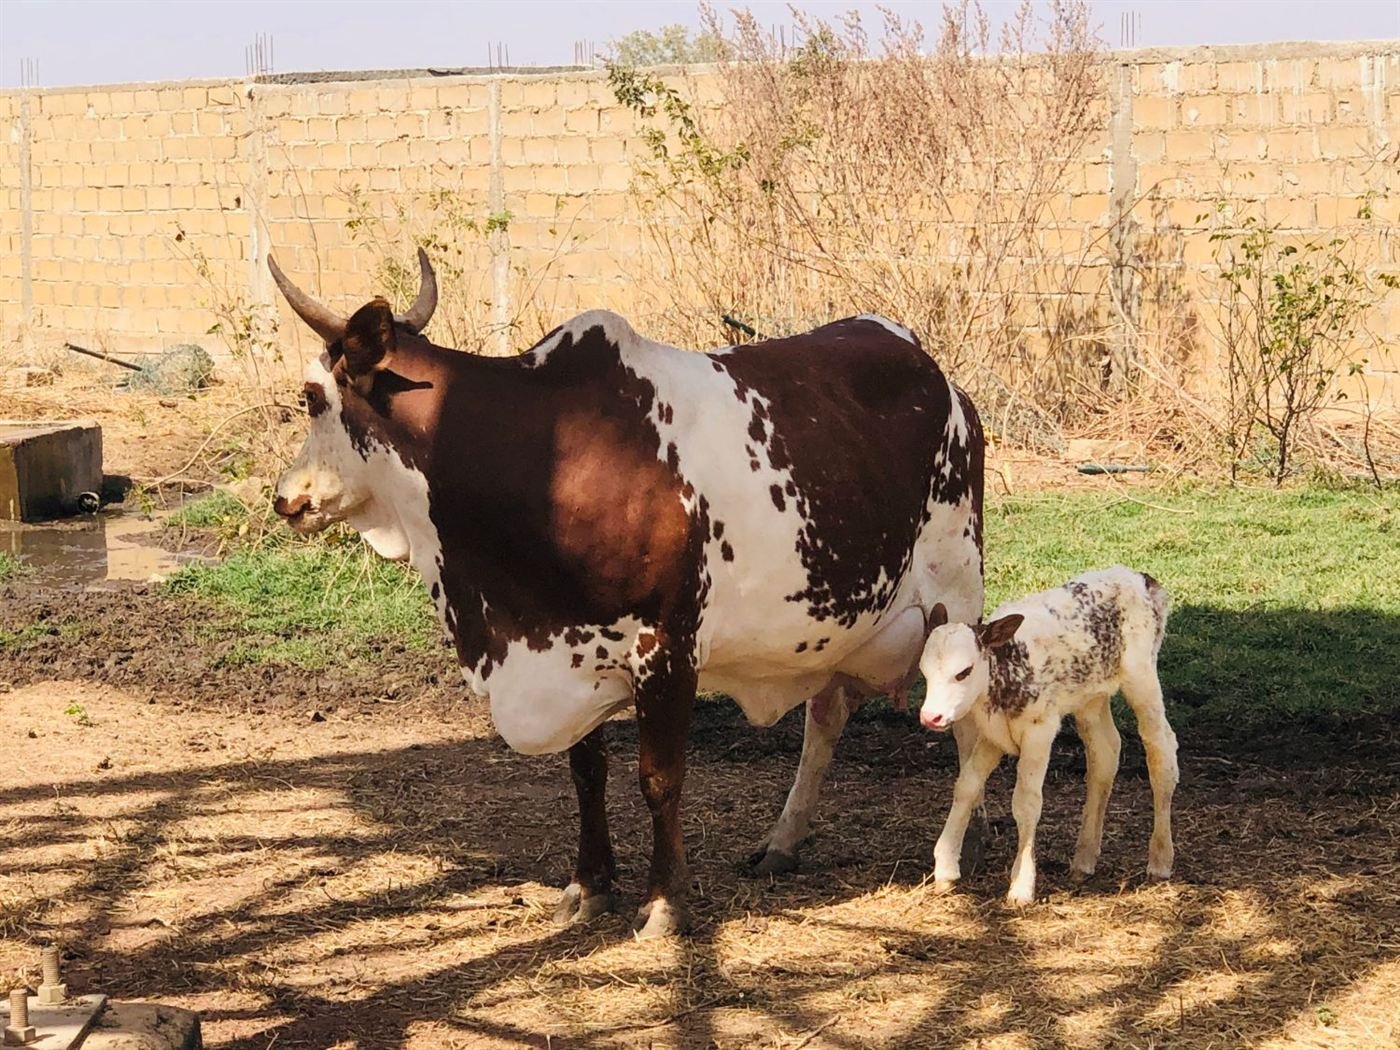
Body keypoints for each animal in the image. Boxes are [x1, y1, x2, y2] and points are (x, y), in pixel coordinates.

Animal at [268, 249, 986, 937]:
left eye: (310, 397)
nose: (284, 498)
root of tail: (933, 372)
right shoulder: (568, 650)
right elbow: (588, 775)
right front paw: (589, 886)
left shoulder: (666, 649)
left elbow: (658, 779)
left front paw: (665, 903)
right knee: (826, 716)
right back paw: (784, 840)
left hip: (956, 593)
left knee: (968, 726)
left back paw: (963, 849)